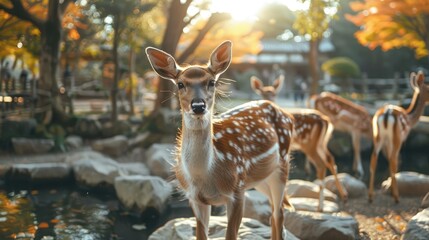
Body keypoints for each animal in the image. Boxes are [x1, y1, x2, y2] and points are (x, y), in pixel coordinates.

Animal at [146, 41, 294, 240]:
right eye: (180, 84)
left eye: (212, 82)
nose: (198, 105)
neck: (205, 175)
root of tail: (287, 114)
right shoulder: (195, 198)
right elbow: (201, 235)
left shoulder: (237, 191)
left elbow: (231, 235)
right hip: (261, 179)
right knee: (273, 214)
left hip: (282, 166)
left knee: (279, 214)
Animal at [249, 75, 346, 212]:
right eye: (262, 93)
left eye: (274, 93)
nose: (269, 100)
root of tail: (325, 120)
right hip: (321, 143)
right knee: (330, 159)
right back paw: (343, 196)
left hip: (309, 144)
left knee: (321, 164)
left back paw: (320, 207)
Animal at [368, 71, 428, 202]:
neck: (410, 119)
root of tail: (386, 115)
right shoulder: (402, 138)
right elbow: (396, 160)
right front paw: (392, 192)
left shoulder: (387, 142)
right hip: (396, 138)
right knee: (393, 159)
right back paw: (396, 197)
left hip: (377, 137)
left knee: (374, 158)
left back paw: (370, 197)